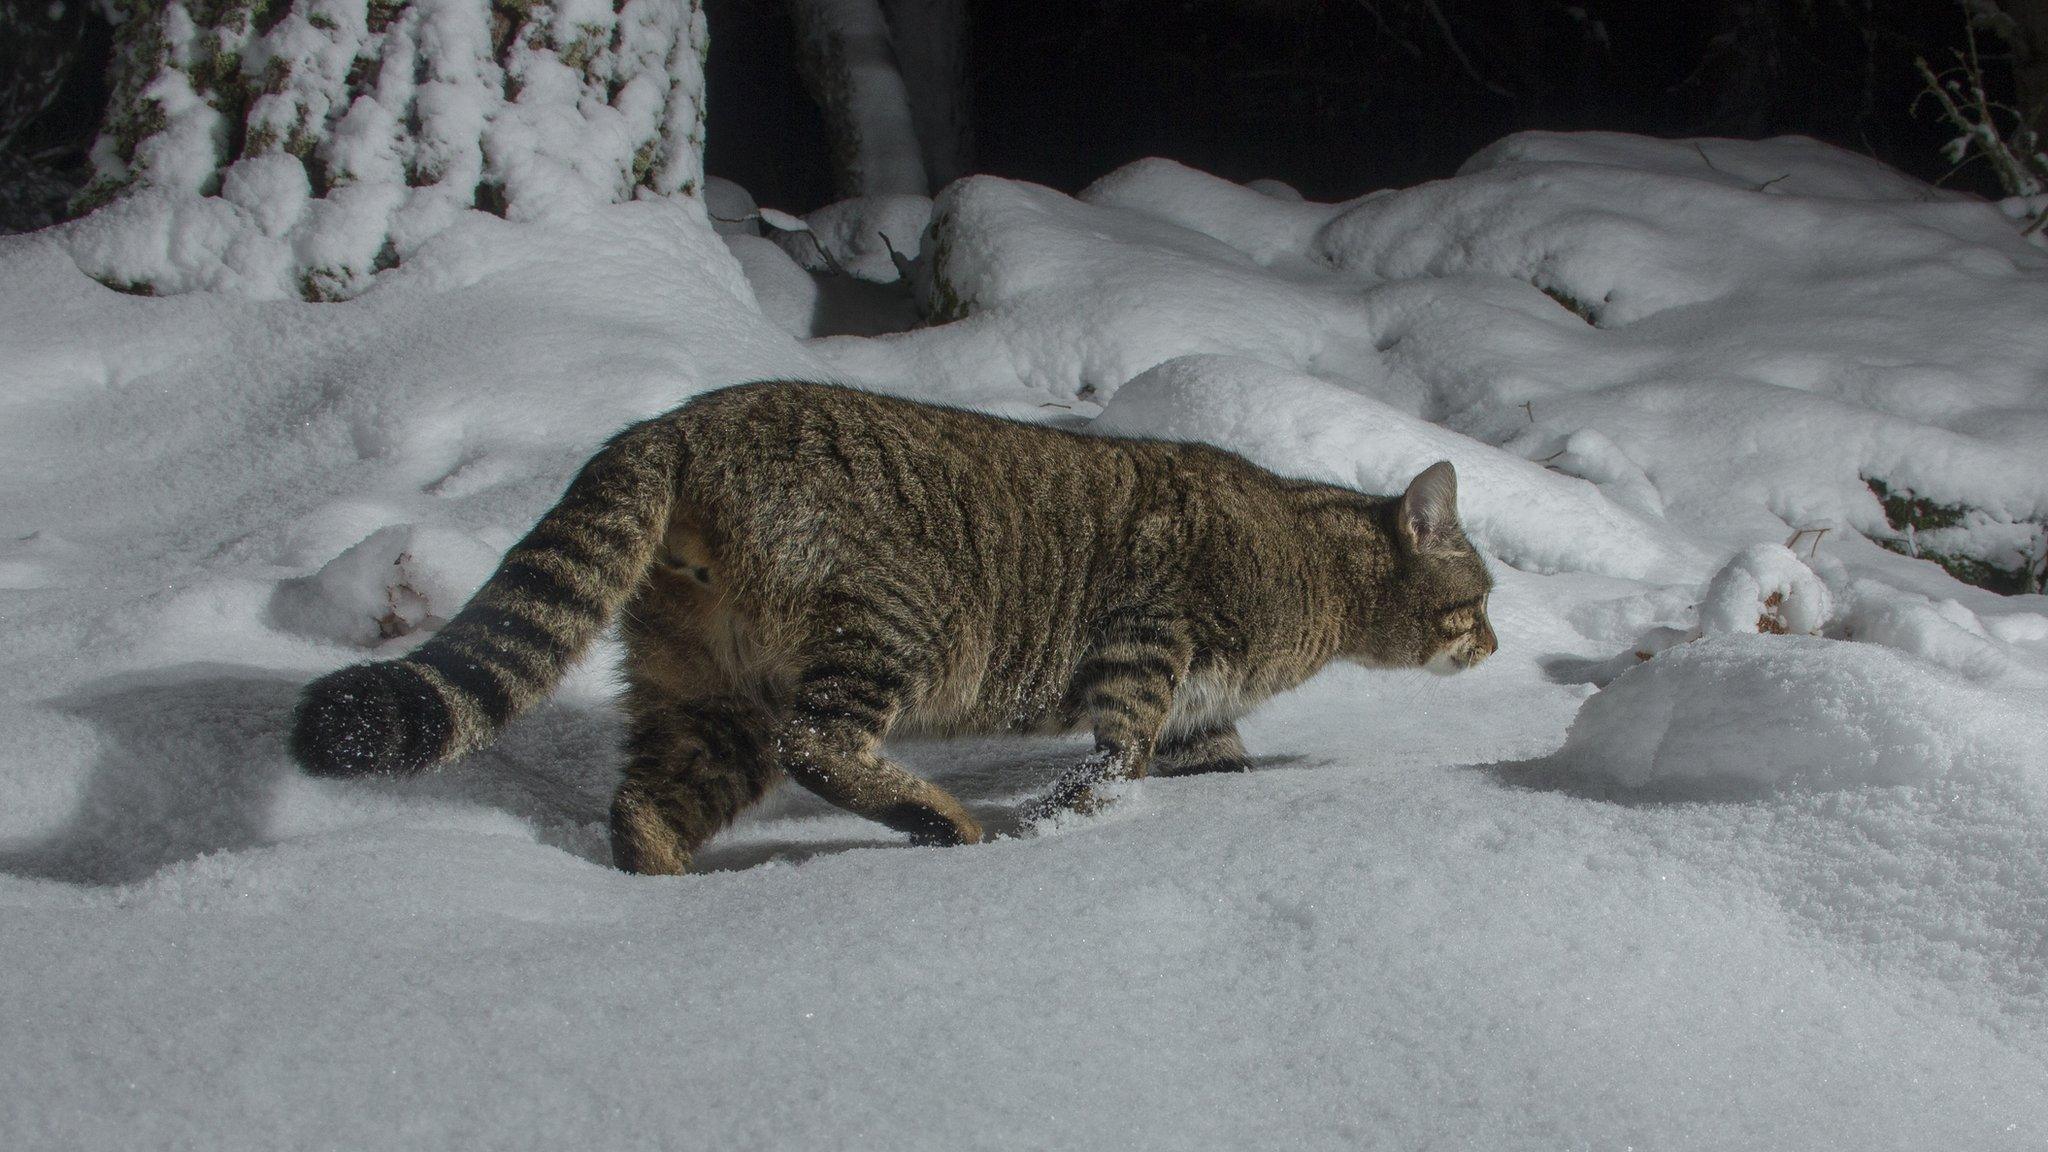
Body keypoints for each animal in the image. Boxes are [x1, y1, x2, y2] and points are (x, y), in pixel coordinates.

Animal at [288, 379, 1499, 869]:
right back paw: (941, 822)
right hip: (888, 623)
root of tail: (673, 423)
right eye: (1482, 598)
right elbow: (1114, 757)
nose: (1495, 644)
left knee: (645, 805)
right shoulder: (1146, 640)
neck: (1316, 563)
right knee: (818, 744)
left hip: (708, 692)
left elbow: (1213, 762)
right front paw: (1074, 820)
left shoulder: (1204, 712)